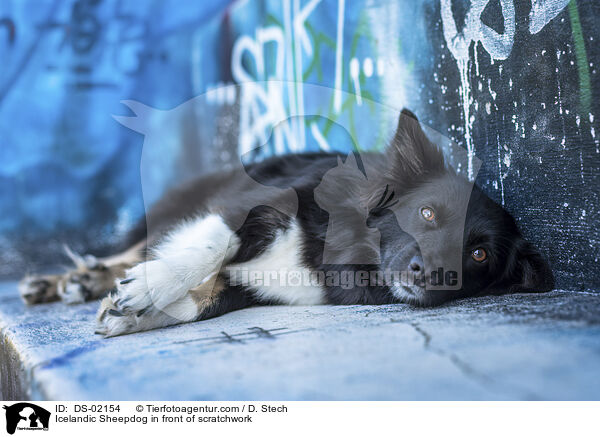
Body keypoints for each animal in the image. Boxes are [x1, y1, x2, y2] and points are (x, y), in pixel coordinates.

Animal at [18, 110, 552, 338]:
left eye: (479, 254)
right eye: (426, 214)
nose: (431, 273)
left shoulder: (251, 287)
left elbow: (204, 301)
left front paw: (137, 311)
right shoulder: (251, 205)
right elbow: (212, 245)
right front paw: (148, 291)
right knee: (135, 249)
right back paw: (71, 279)